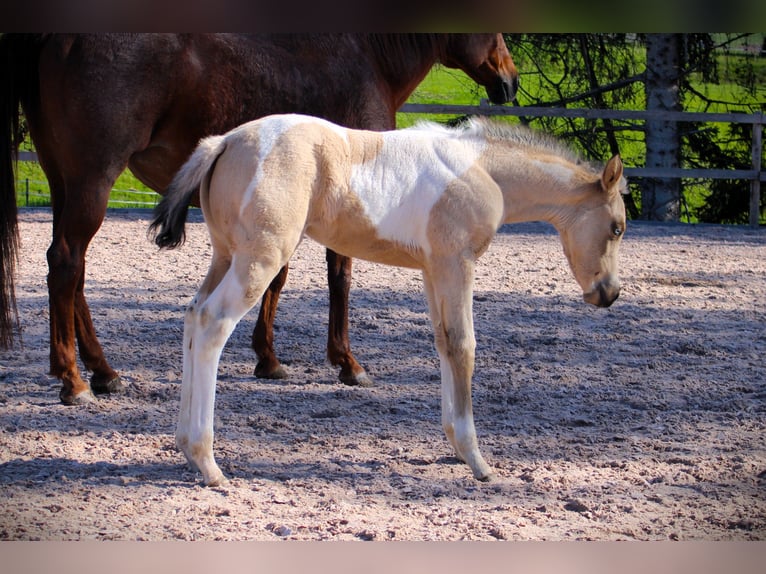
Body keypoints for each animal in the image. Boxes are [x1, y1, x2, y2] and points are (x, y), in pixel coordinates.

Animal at [0, 33, 518, 406]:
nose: (510, 81)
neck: (368, 57)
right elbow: (339, 277)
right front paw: (347, 363)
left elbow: (278, 279)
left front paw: (268, 359)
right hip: (93, 180)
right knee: (66, 264)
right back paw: (74, 381)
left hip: (64, 180)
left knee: (73, 273)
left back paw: (102, 373)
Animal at [149, 114, 629, 485]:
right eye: (617, 227)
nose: (608, 294)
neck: (482, 169)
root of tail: (224, 141)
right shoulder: (456, 263)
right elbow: (464, 346)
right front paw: (478, 461)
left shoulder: (433, 270)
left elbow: (443, 342)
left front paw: (456, 447)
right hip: (260, 259)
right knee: (213, 323)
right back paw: (209, 464)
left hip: (225, 255)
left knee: (193, 314)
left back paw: (185, 449)